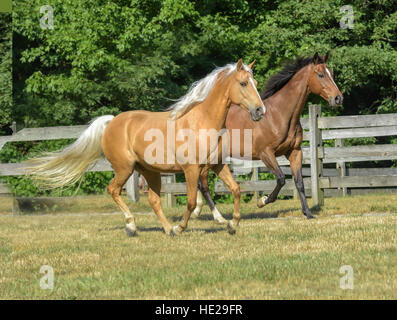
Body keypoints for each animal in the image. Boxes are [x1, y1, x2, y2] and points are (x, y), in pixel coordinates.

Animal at [26, 59, 264, 235]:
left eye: (255, 82)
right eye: (244, 83)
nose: (260, 111)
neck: (201, 122)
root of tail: (111, 122)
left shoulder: (216, 166)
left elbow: (235, 189)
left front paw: (232, 224)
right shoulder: (191, 170)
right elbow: (189, 202)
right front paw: (181, 227)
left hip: (150, 171)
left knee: (153, 200)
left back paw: (167, 229)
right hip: (124, 168)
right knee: (113, 190)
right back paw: (132, 226)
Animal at [190, 52, 342, 222]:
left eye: (332, 74)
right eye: (321, 74)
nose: (338, 98)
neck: (279, 115)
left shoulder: (295, 152)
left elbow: (299, 182)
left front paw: (308, 213)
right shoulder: (266, 154)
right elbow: (281, 178)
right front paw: (262, 201)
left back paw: (198, 211)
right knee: (200, 182)